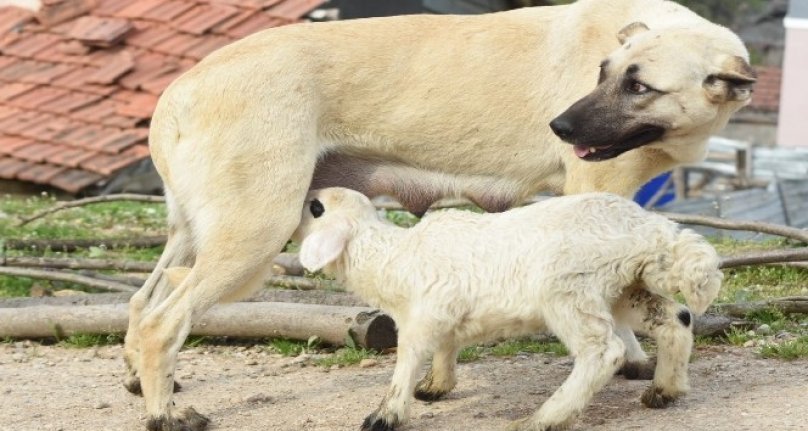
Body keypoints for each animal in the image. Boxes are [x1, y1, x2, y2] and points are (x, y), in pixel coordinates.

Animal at [294, 188, 724, 431]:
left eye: (315, 207)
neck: (390, 256)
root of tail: (651, 228)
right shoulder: (445, 313)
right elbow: (446, 348)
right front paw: (436, 386)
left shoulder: (422, 317)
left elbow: (407, 362)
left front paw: (384, 416)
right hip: (624, 289)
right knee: (677, 319)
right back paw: (665, 389)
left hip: (569, 288)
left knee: (603, 353)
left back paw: (543, 419)